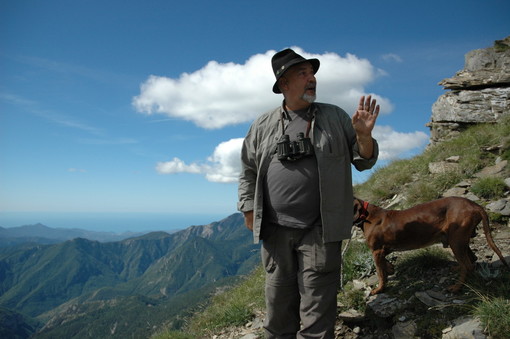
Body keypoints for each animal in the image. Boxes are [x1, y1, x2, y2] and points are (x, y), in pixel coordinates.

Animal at [352, 197, 508, 294]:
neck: (367, 216)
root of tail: (474, 205)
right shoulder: (382, 250)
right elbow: (385, 264)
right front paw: (390, 268)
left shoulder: (376, 251)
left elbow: (380, 273)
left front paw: (379, 289)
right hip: (459, 240)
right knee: (472, 259)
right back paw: (458, 269)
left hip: (456, 241)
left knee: (468, 265)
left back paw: (457, 287)